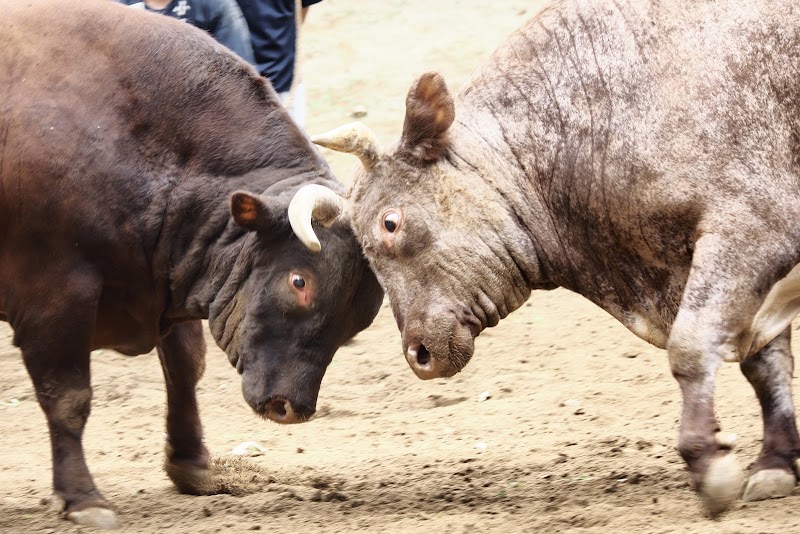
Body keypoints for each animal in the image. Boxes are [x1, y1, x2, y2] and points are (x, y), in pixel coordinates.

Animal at [0, 0, 382, 528]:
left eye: (358, 320)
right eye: (299, 281)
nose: (291, 407)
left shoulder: (169, 278)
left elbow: (185, 369)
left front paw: (194, 466)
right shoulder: (55, 295)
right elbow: (69, 396)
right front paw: (83, 497)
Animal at [290, 0, 800, 520]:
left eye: (390, 223)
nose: (419, 354)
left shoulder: (751, 228)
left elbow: (693, 347)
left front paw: (708, 464)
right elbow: (765, 362)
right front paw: (776, 463)